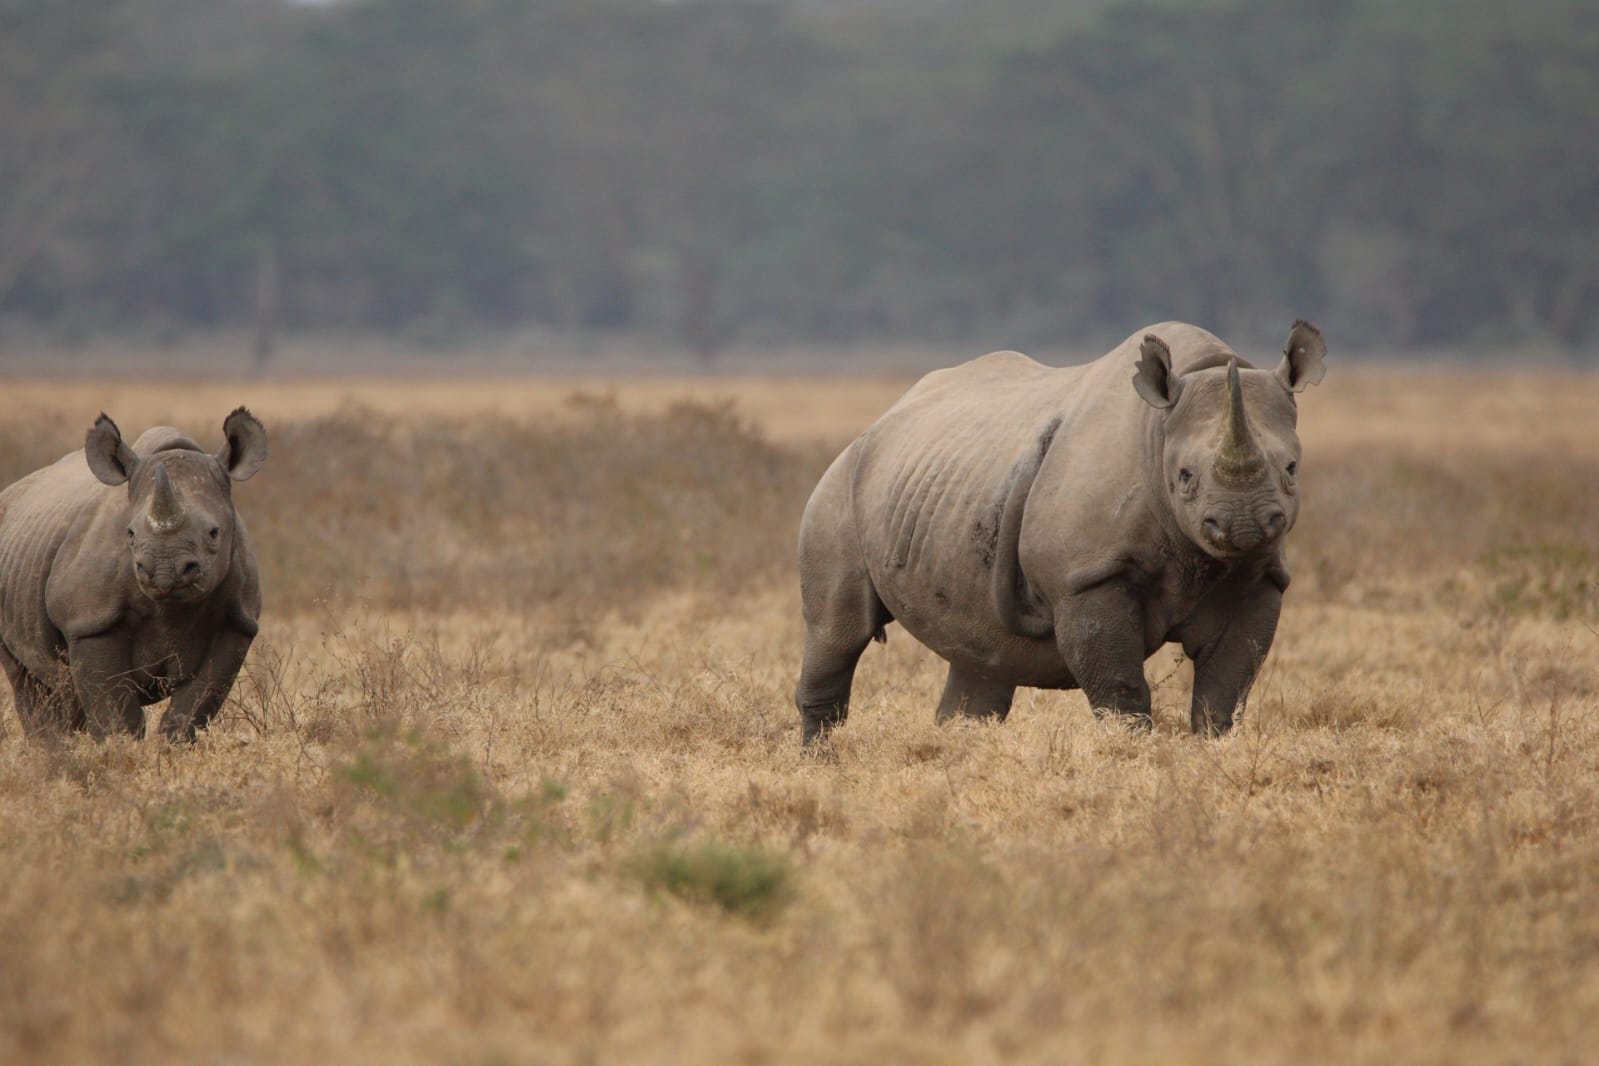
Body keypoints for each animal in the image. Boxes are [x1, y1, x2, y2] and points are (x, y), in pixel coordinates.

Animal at [0, 409, 267, 740]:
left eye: (214, 533)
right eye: (129, 534)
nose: (164, 570)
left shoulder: (237, 622)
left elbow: (192, 709)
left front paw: (170, 748)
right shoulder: (90, 621)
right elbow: (115, 715)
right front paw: (120, 748)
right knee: (29, 682)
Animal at [795, 321, 1326, 744]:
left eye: (1292, 470)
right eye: (1185, 477)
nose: (1245, 524)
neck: (1158, 431)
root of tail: (879, 419)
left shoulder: (1258, 576)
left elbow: (1227, 686)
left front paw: (1213, 747)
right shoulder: (1086, 577)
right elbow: (1120, 687)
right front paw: (1131, 750)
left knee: (980, 657)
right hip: (839, 486)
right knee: (838, 632)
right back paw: (821, 758)